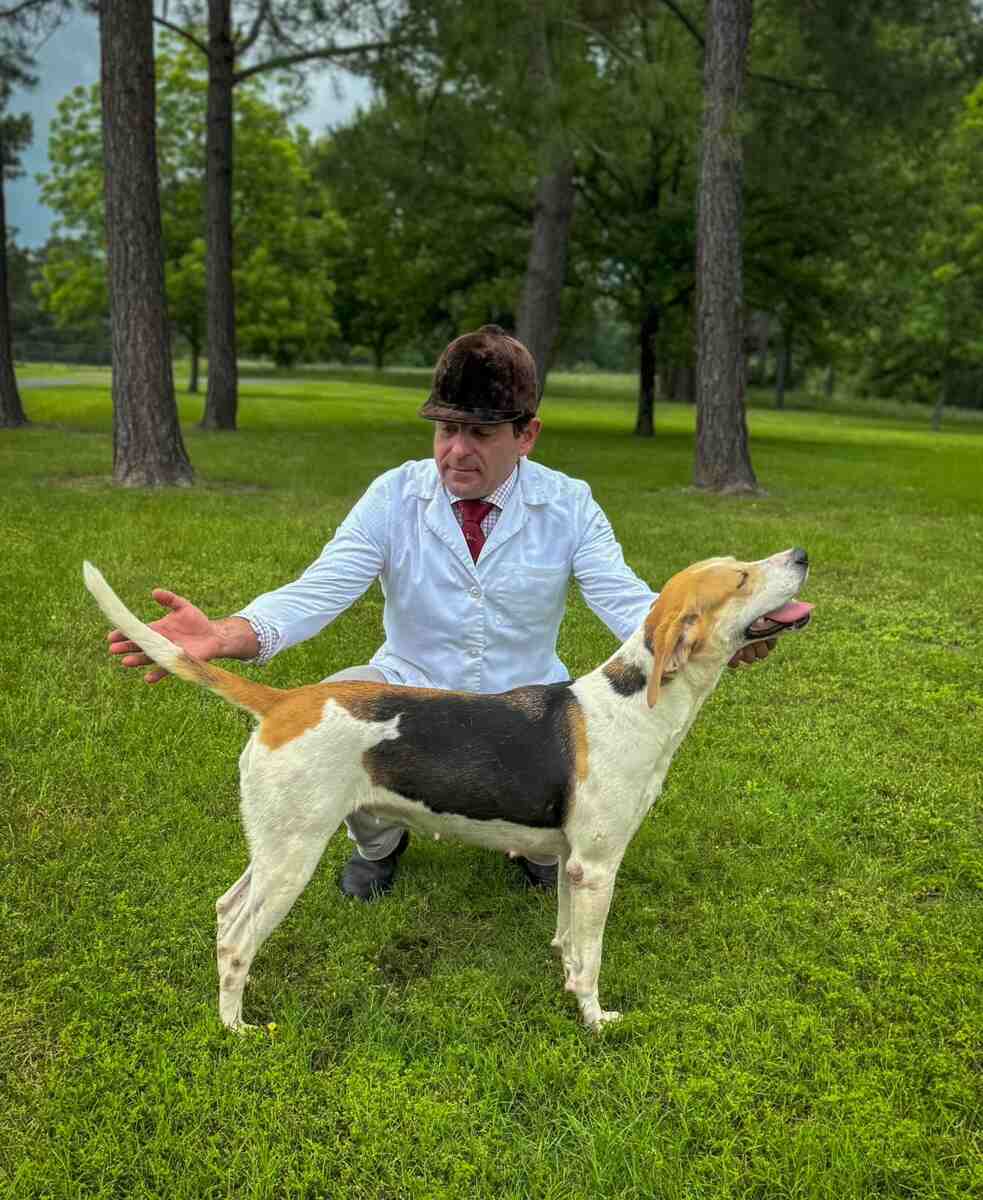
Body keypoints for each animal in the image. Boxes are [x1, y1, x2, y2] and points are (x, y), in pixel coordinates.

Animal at [84, 549, 811, 1027]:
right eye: (742, 577)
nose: (800, 554)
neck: (633, 703)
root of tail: (286, 701)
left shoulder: (572, 866)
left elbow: (568, 941)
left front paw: (564, 977)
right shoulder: (599, 867)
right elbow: (593, 958)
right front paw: (595, 1019)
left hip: (272, 848)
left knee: (223, 912)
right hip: (293, 858)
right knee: (238, 942)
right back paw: (237, 1029)